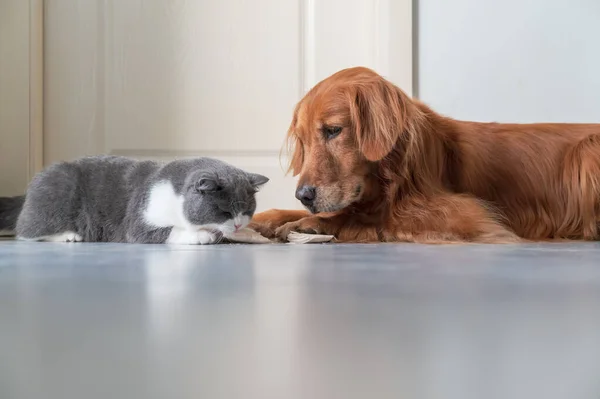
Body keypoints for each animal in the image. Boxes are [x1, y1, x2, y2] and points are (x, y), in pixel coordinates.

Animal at [0, 155, 270, 244]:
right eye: (224, 210)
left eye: (247, 209)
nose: (238, 224)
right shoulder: (139, 219)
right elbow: (168, 231)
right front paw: (203, 235)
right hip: (58, 193)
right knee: (26, 230)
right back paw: (68, 235)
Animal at [248, 66, 600, 244]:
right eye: (304, 140)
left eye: (333, 130)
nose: (304, 195)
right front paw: (262, 219)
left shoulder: (464, 214)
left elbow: (365, 218)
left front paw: (311, 223)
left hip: (585, 152)